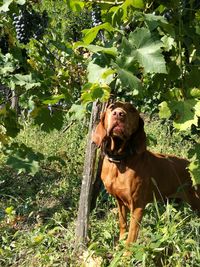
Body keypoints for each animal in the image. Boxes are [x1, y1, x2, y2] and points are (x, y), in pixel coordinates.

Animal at [92, 102, 200, 245]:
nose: (119, 114)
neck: (119, 161)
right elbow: (123, 225)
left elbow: (131, 237)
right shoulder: (120, 201)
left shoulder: (137, 206)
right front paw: (119, 245)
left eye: (132, 110)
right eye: (111, 107)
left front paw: (126, 251)